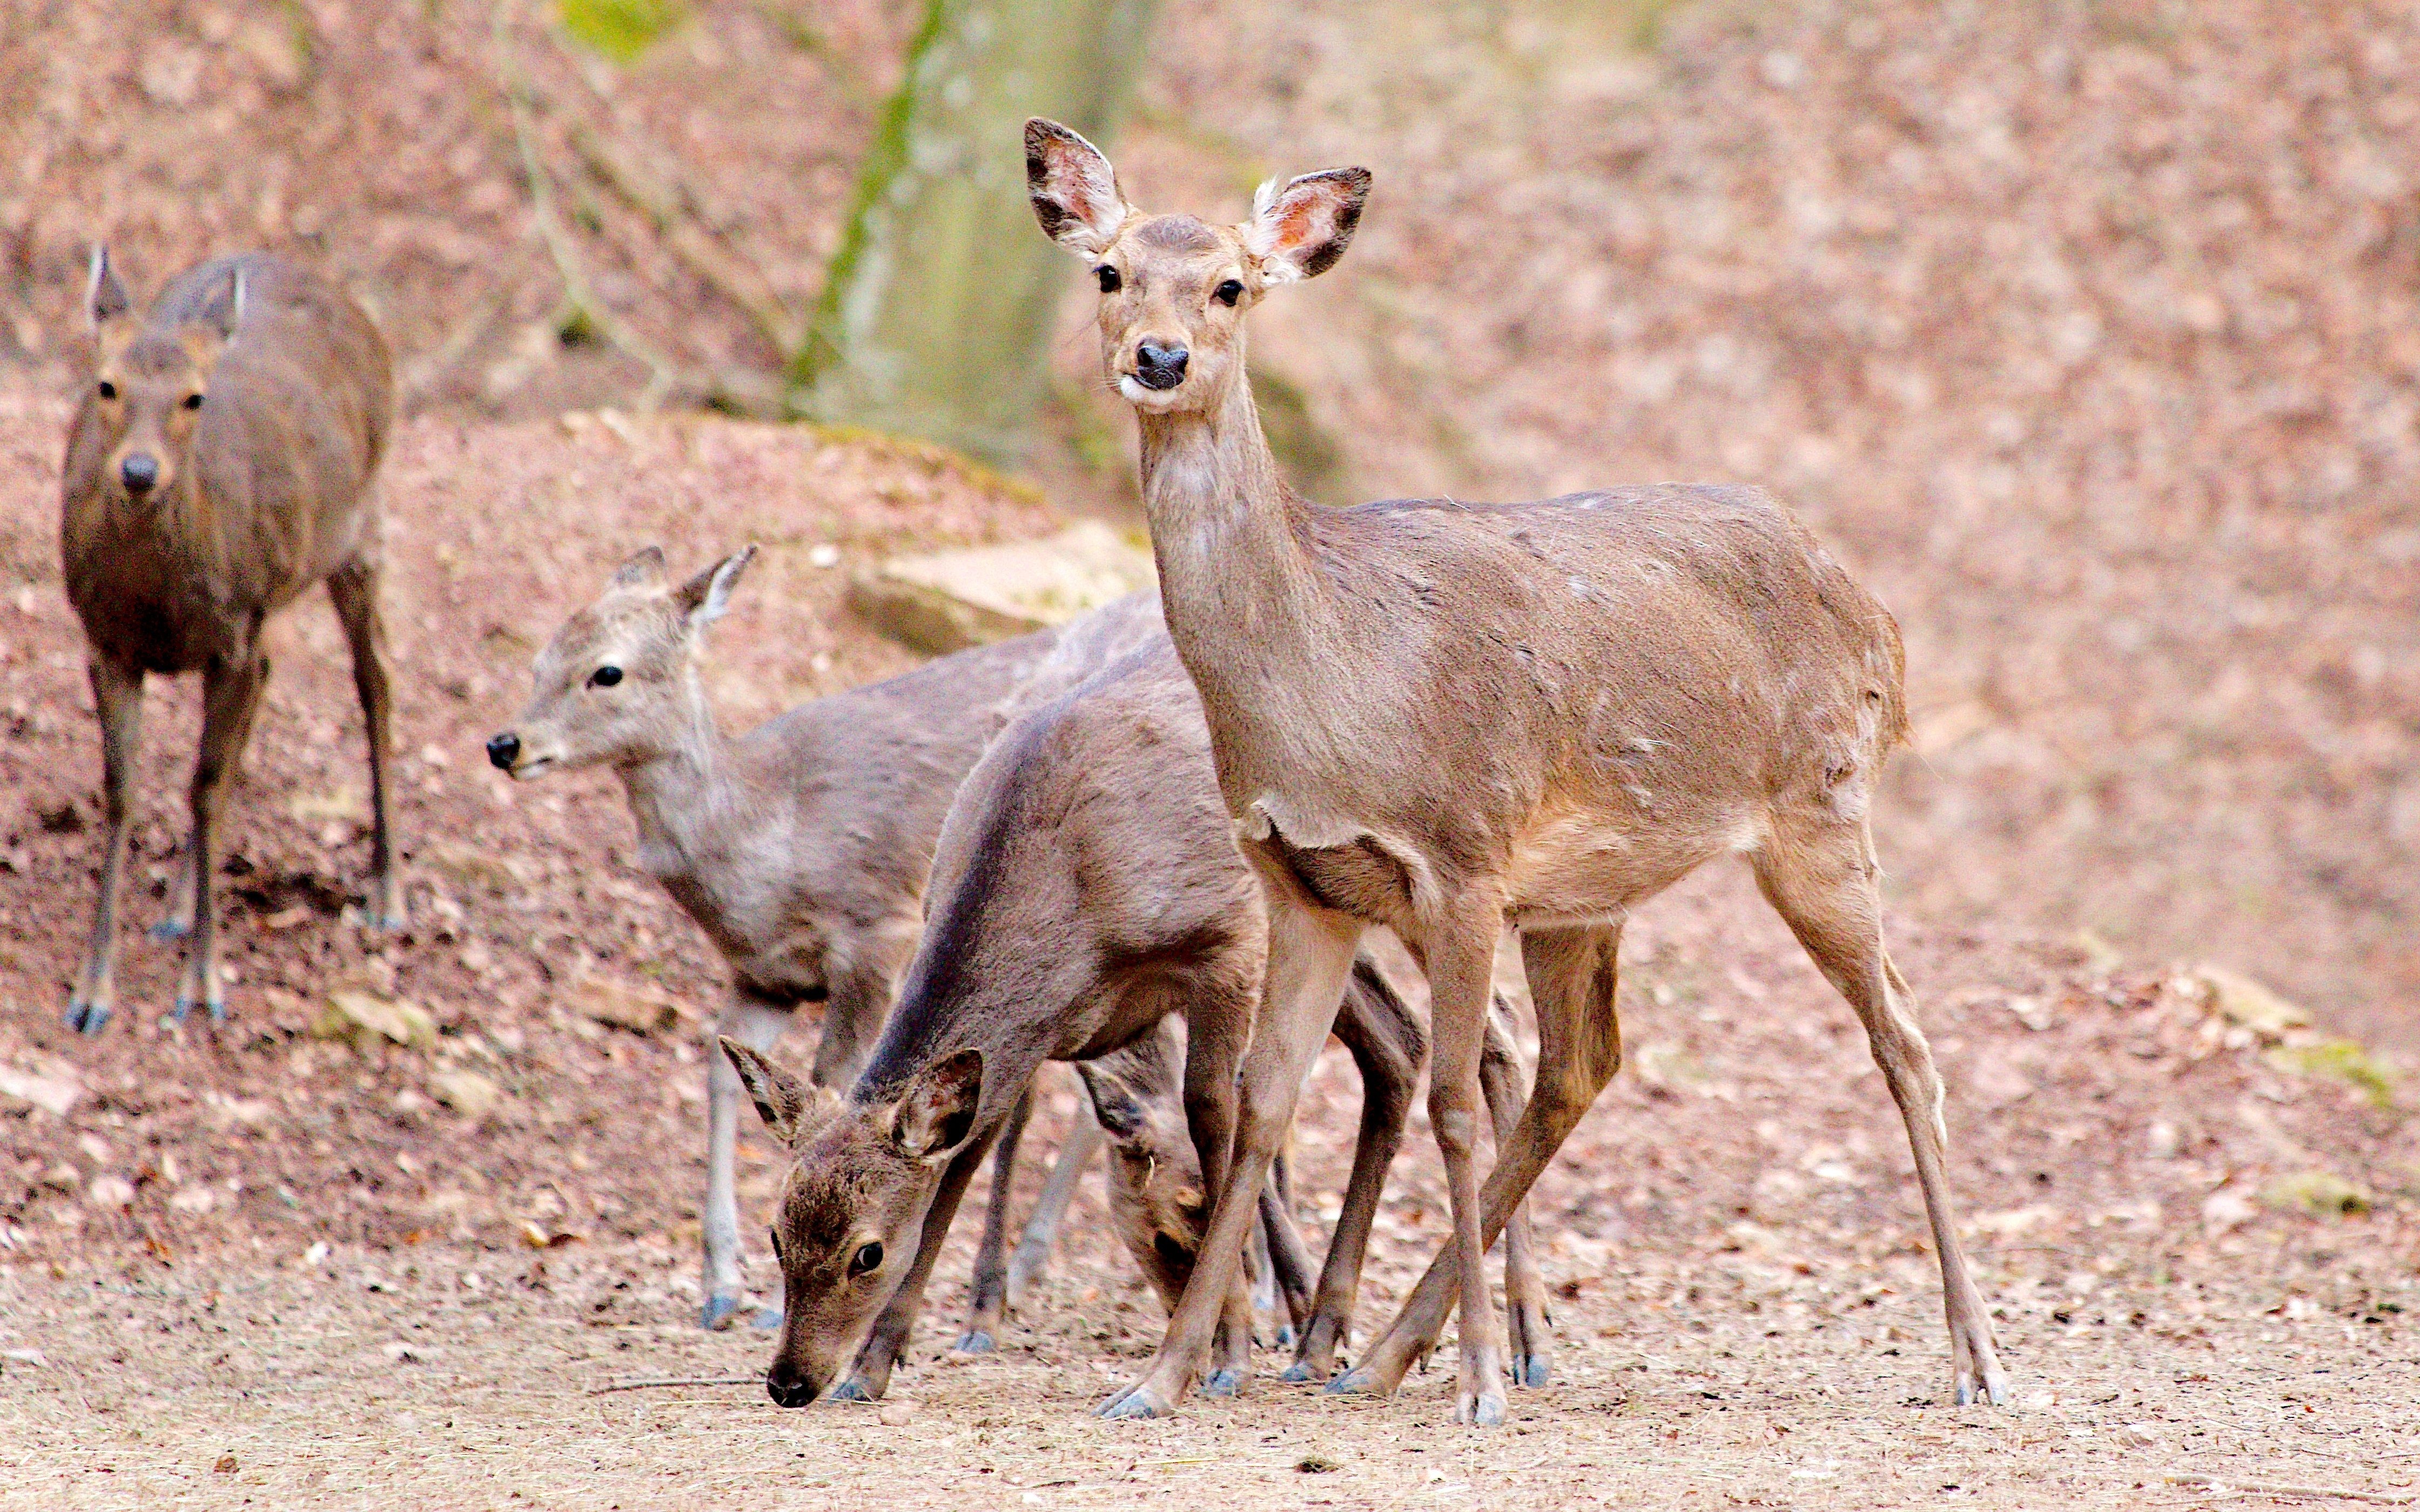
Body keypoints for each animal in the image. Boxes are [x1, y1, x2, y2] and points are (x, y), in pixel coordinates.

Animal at [61, 250, 399, 1035]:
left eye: (194, 399)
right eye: (107, 384)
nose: (139, 472)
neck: (157, 601)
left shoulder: (233, 635)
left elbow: (206, 791)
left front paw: (204, 987)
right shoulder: (106, 642)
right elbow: (124, 791)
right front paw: (93, 993)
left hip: (359, 531)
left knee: (376, 683)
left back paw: (387, 892)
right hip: (271, 610)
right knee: (274, 686)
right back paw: (179, 906)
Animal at [721, 619, 1549, 1413]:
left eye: (866, 1252)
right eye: (778, 1233)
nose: (789, 1382)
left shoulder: (1229, 943)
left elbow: (1215, 1116)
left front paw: (1228, 1354)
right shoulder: (1031, 1039)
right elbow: (970, 1153)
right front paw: (874, 1367)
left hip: (1420, 889)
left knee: (1500, 1037)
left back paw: (1522, 1341)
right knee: (1403, 1045)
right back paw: (1329, 1334)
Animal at [1016, 118, 2004, 1422]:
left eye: (1230, 284)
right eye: (1108, 273)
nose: (1160, 357)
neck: (1330, 691)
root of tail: (1883, 624)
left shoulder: (1463, 853)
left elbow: (1443, 1102)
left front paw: (1480, 1379)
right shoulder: (1298, 882)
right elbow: (1264, 1106)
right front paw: (1165, 1377)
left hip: (1819, 807)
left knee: (1903, 1040)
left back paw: (1976, 1356)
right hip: (1587, 894)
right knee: (1581, 1067)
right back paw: (1388, 1350)